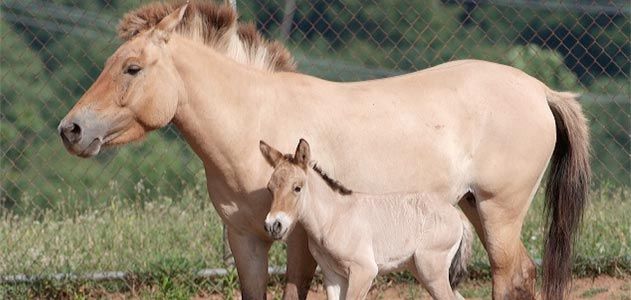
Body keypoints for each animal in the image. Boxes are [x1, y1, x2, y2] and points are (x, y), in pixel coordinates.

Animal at [260, 139, 472, 300]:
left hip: (430, 270)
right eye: (270, 188)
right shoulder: (332, 275)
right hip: (421, 270)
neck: (333, 217)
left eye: (297, 188)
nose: (273, 225)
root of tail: (455, 214)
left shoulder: (364, 272)